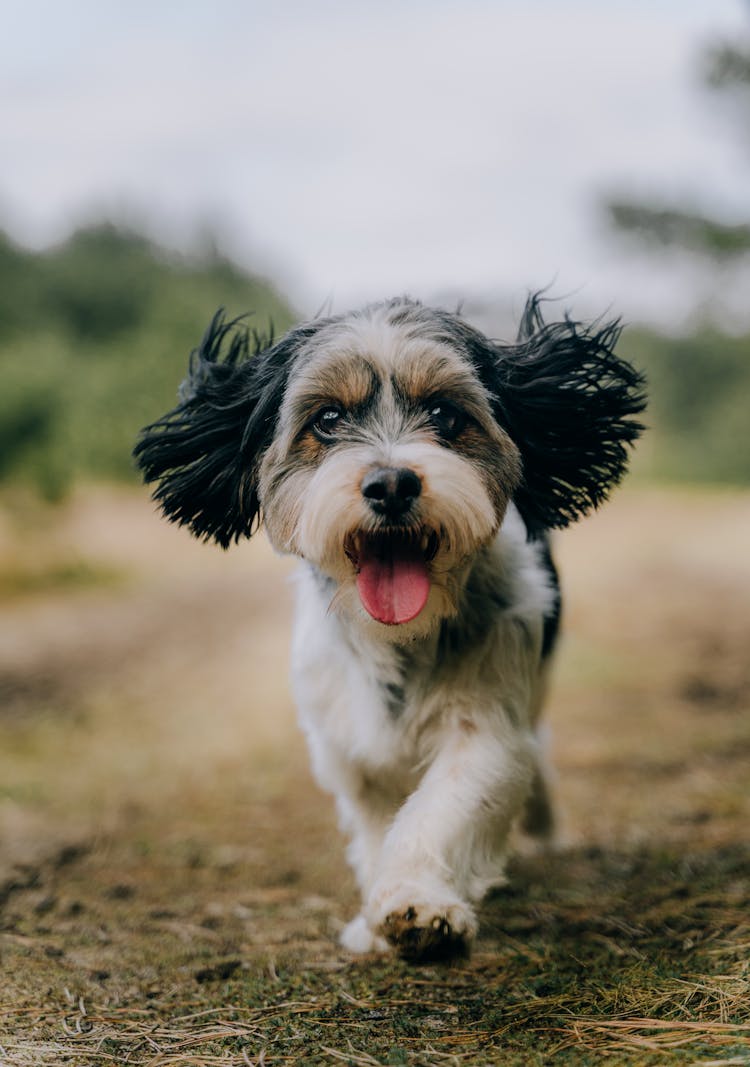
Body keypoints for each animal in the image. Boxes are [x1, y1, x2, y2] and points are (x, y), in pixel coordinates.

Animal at [133, 296, 644, 964]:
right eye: (326, 419)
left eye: (445, 414)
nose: (392, 482)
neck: (402, 640)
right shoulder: (350, 744)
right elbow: (378, 824)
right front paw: (377, 916)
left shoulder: (486, 723)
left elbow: (443, 807)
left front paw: (416, 904)